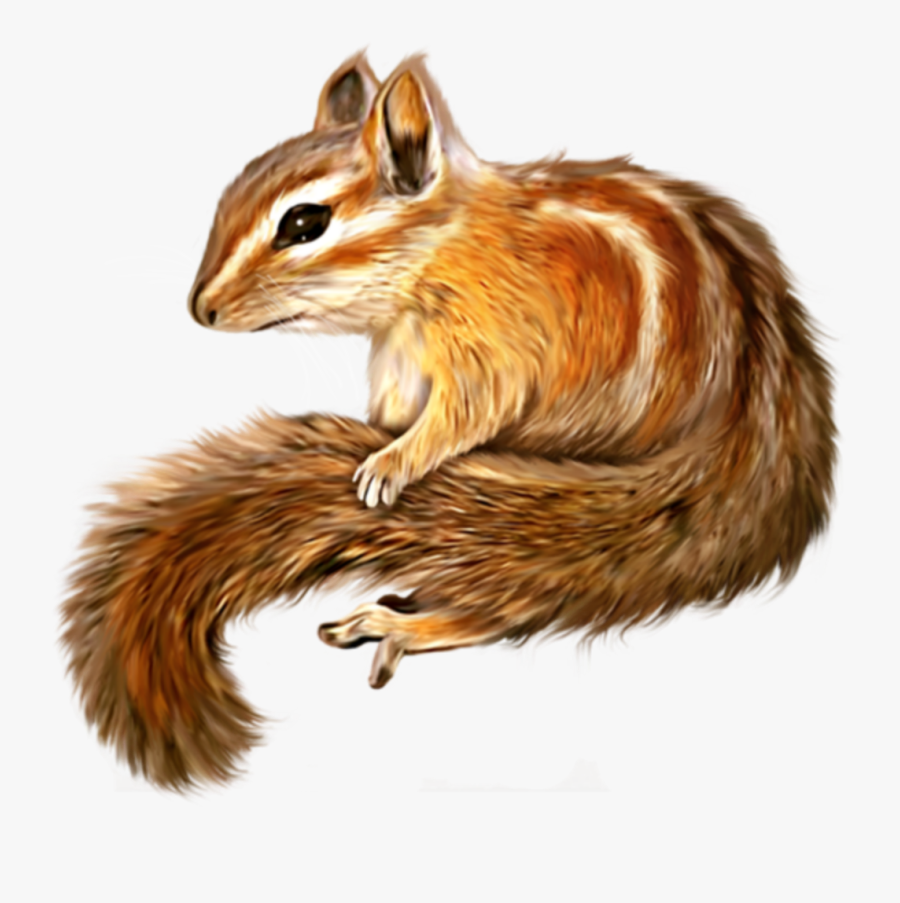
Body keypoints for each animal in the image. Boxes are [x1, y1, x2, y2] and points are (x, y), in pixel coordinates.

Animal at [62, 52, 836, 791]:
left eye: (304, 223)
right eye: (227, 197)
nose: (202, 309)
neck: (445, 248)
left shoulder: (497, 343)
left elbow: (472, 408)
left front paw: (391, 463)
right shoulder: (399, 363)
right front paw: (387, 444)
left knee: (518, 585)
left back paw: (402, 622)